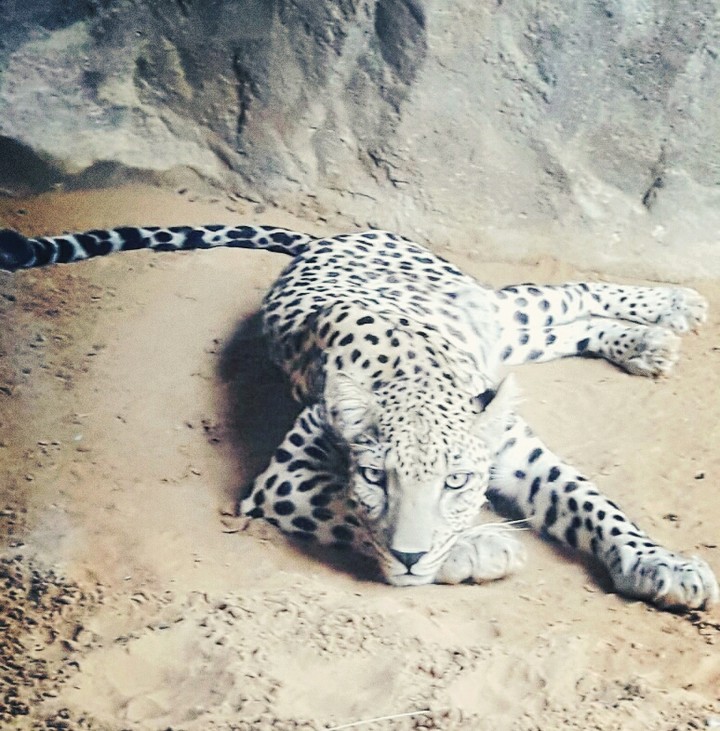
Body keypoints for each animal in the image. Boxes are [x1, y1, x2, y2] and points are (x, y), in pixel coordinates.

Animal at [1, 223, 717, 610]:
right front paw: (468, 549)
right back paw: (647, 341)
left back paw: (670, 307)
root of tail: (332, 236)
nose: (414, 557)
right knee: (564, 324)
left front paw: (660, 565)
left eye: (457, 481)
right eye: (376, 477)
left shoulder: (516, 452)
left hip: (497, 309)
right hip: (506, 331)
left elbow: (591, 502)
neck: (420, 373)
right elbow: (346, 512)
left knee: (568, 295)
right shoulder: (282, 482)